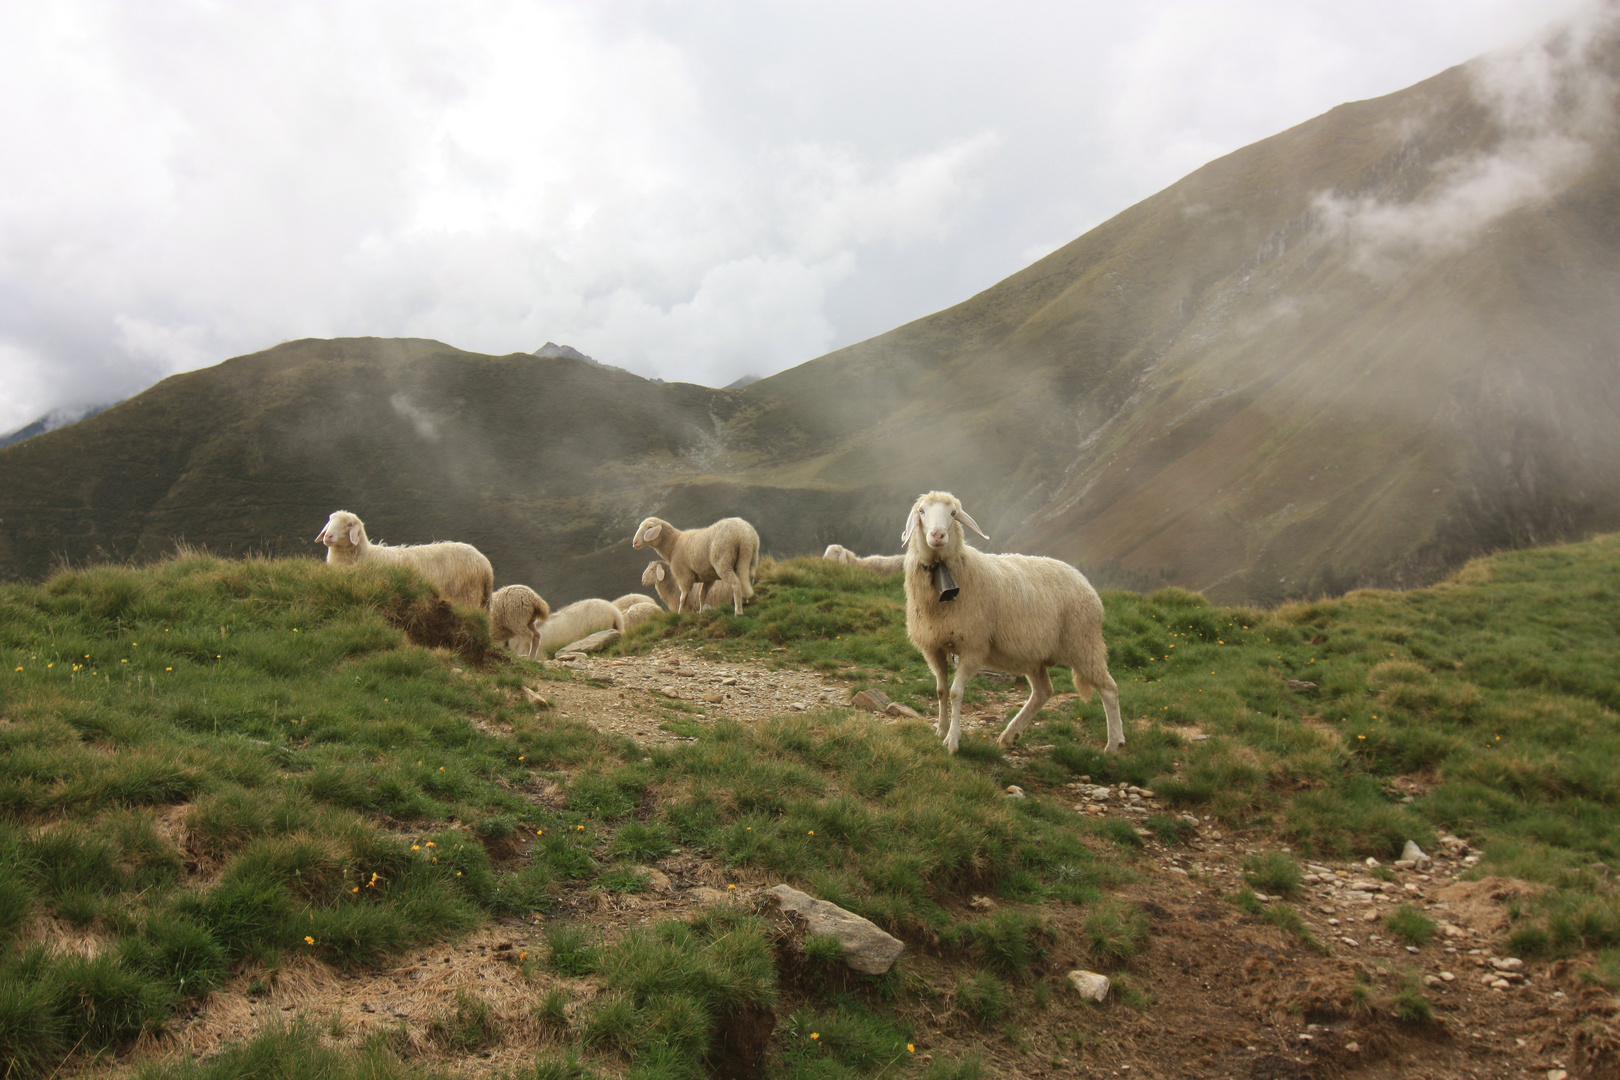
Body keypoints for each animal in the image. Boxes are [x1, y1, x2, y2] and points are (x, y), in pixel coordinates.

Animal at [314, 511, 492, 612]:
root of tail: (485, 565)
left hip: (467, 593)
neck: (366, 555)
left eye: (349, 524)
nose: (328, 536)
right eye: (330, 521)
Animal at [907, 488, 1121, 751]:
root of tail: (1083, 580)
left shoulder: (974, 647)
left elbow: (956, 693)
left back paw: (1114, 745)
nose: (938, 535)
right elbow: (941, 690)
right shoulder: (933, 646)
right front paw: (940, 729)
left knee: (1109, 690)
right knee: (1043, 692)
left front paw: (953, 740)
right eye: (922, 511)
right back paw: (1010, 734)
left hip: (1084, 643)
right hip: (1035, 656)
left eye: (953, 513)